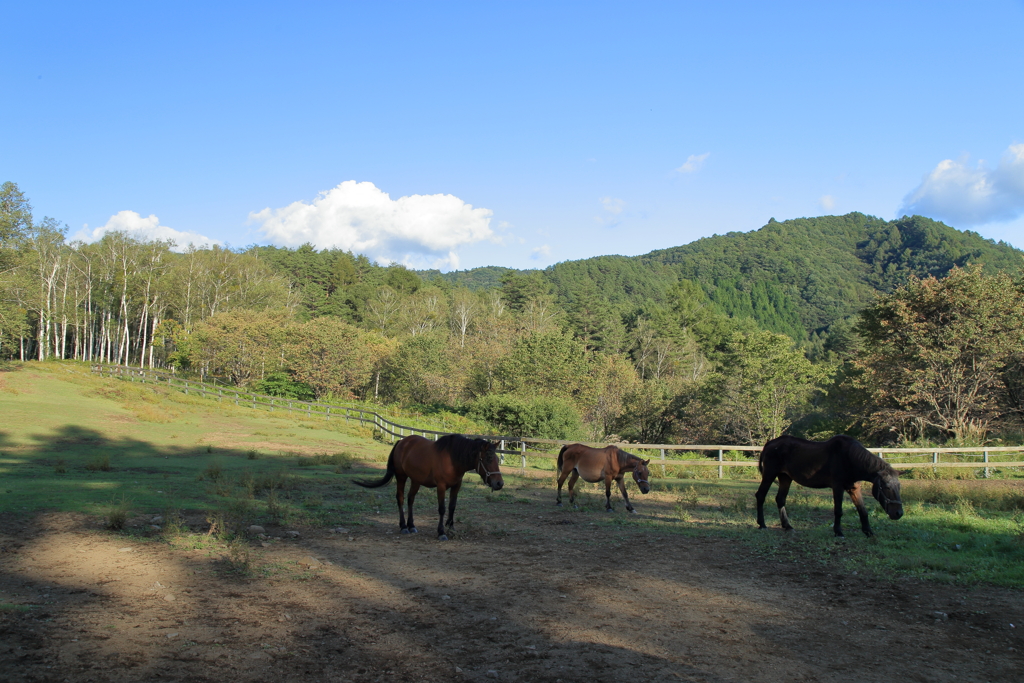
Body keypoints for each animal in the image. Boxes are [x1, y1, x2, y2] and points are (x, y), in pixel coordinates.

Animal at [354, 436, 505, 540]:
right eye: (488, 458)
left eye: (497, 459)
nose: (499, 483)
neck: (452, 459)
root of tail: (401, 442)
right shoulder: (441, 486)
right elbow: (442, 509)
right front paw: (441, 532)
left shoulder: (456, 486)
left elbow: (452, 507)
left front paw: (451, 528)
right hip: (401, 477)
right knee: (401, 498)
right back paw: (403, 526)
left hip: (416, 481)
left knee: (410, 499)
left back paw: (412, 525)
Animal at [753, 436, 905, 536]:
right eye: (886, 487)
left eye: (899, 487)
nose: (898, 513)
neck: (850, 458)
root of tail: (769, 444)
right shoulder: (837, 487)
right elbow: (838, 510)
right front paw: (838, 532)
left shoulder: (854, 488)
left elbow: (862, 510)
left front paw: (868, 531)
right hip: (770, 475)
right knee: (761, 496)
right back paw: (762, 524)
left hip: (785, 477)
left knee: (780, 499)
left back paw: (788, 526)